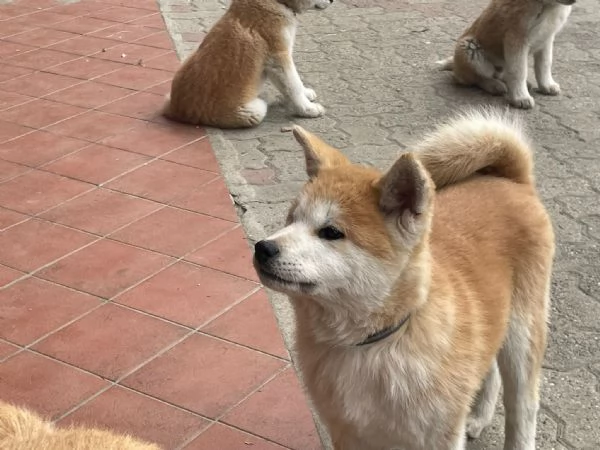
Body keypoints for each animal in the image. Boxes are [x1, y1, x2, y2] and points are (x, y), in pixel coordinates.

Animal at [163, 0, 332, 128]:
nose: (332, 1)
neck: (276, 1)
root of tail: (175, 110)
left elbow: (294, 83)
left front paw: (306, 93)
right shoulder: (279, 59)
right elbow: (293, 84)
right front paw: (307, 109)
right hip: (252, 112)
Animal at [252, 110, 552, 450]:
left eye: (331, 232)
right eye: (291, 219)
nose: (263, 248)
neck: (376, 343)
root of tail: (510, 180)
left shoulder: (438, 435)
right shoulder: (347, 431)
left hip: (522, 334)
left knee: (523, 407)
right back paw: (478, 416)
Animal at [438, 0, 576, 109]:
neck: (545, 5)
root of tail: (455, 65)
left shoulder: (546, 39)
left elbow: (545, 64)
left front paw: (546, 85)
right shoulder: (515, 39)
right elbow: (519, 71)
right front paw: (520, 97)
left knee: (500, 73)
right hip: (470, 49)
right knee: (476, 78)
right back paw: (494, 85)